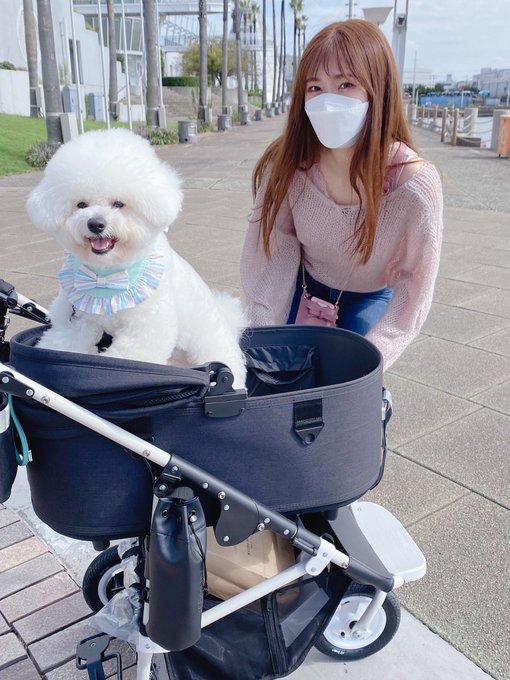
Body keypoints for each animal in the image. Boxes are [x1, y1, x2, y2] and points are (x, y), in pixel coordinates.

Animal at [26, 128, 247, 389]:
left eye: (119, 204)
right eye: (81, 204)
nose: (96, 224)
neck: (107, 273)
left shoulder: (146, 327)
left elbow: (129, 360)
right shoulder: (76, 322)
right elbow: (64, 345)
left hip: (211, 349)